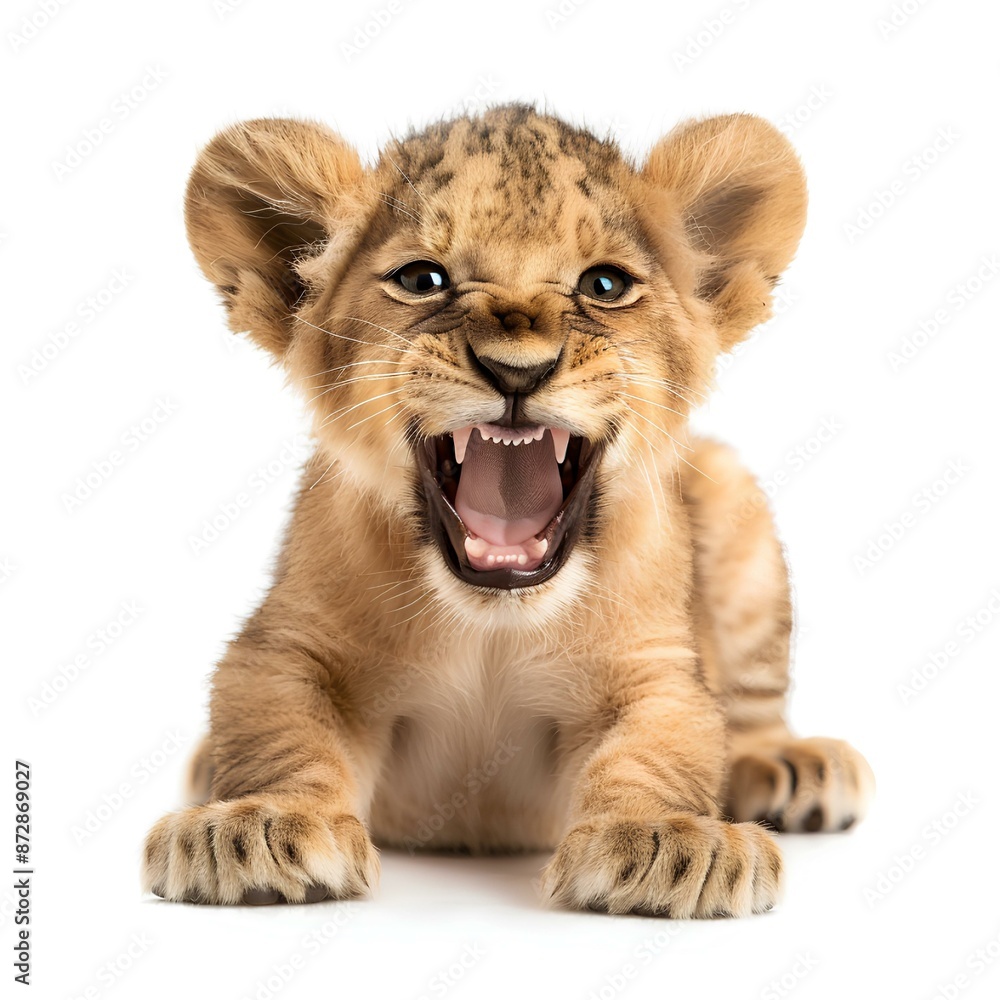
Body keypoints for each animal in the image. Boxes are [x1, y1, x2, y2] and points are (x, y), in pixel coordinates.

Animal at [142, 105, 873, 917]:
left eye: (605, 284)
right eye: (422, 279)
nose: (517, 370)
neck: (490, 626)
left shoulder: (655, 668)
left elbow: (660, 748)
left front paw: (668, 839)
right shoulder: (286, 644)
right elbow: (278, 729)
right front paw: (258, 822)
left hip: (731, 495)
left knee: (751, 705)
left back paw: (788, 765)